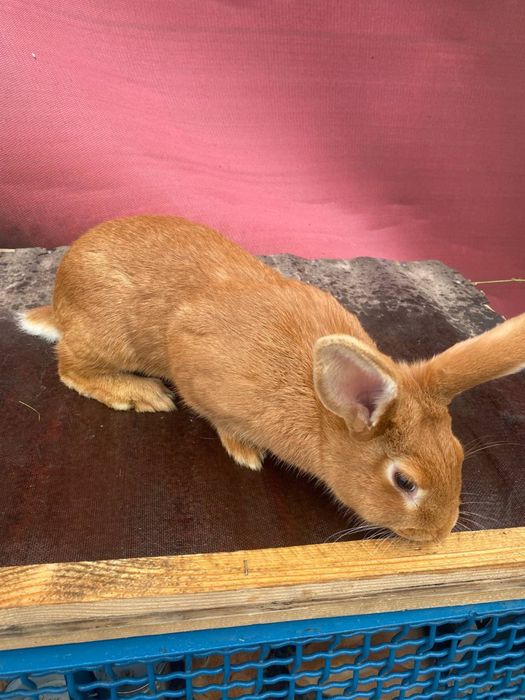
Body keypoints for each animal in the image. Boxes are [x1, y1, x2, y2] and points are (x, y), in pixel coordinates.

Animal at [18, 215, 525, 543]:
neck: (324, 415)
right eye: (404, 482)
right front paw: (246, 453)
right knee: (69, 365)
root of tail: (60, 298)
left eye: (457, 453)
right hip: (107, 338)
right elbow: (220, 419)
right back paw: (141, 393)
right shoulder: (200, 373)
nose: (441, 532)